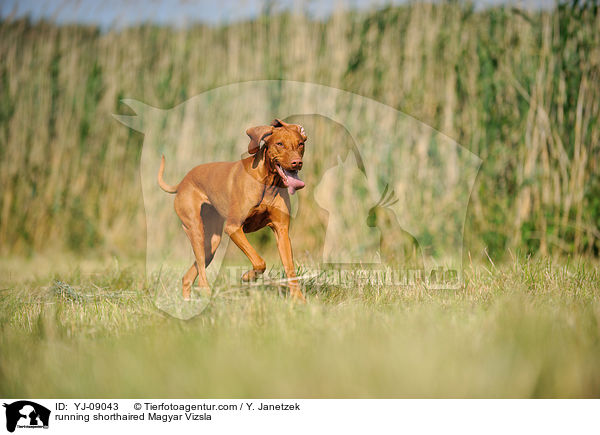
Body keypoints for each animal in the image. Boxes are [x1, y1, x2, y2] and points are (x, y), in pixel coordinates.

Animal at [157, 119, 308, 304]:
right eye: (279, 144)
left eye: (300, 144)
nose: (297, 162)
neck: (267, 182)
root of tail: (183, 181)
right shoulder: (233, 228)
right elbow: (260, 262)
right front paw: (248, 276)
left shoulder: (282, 231)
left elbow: (290, 269)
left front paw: (299, 300)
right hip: (196, 231)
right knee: (201, 275)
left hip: (211, 244)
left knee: (188, 277)